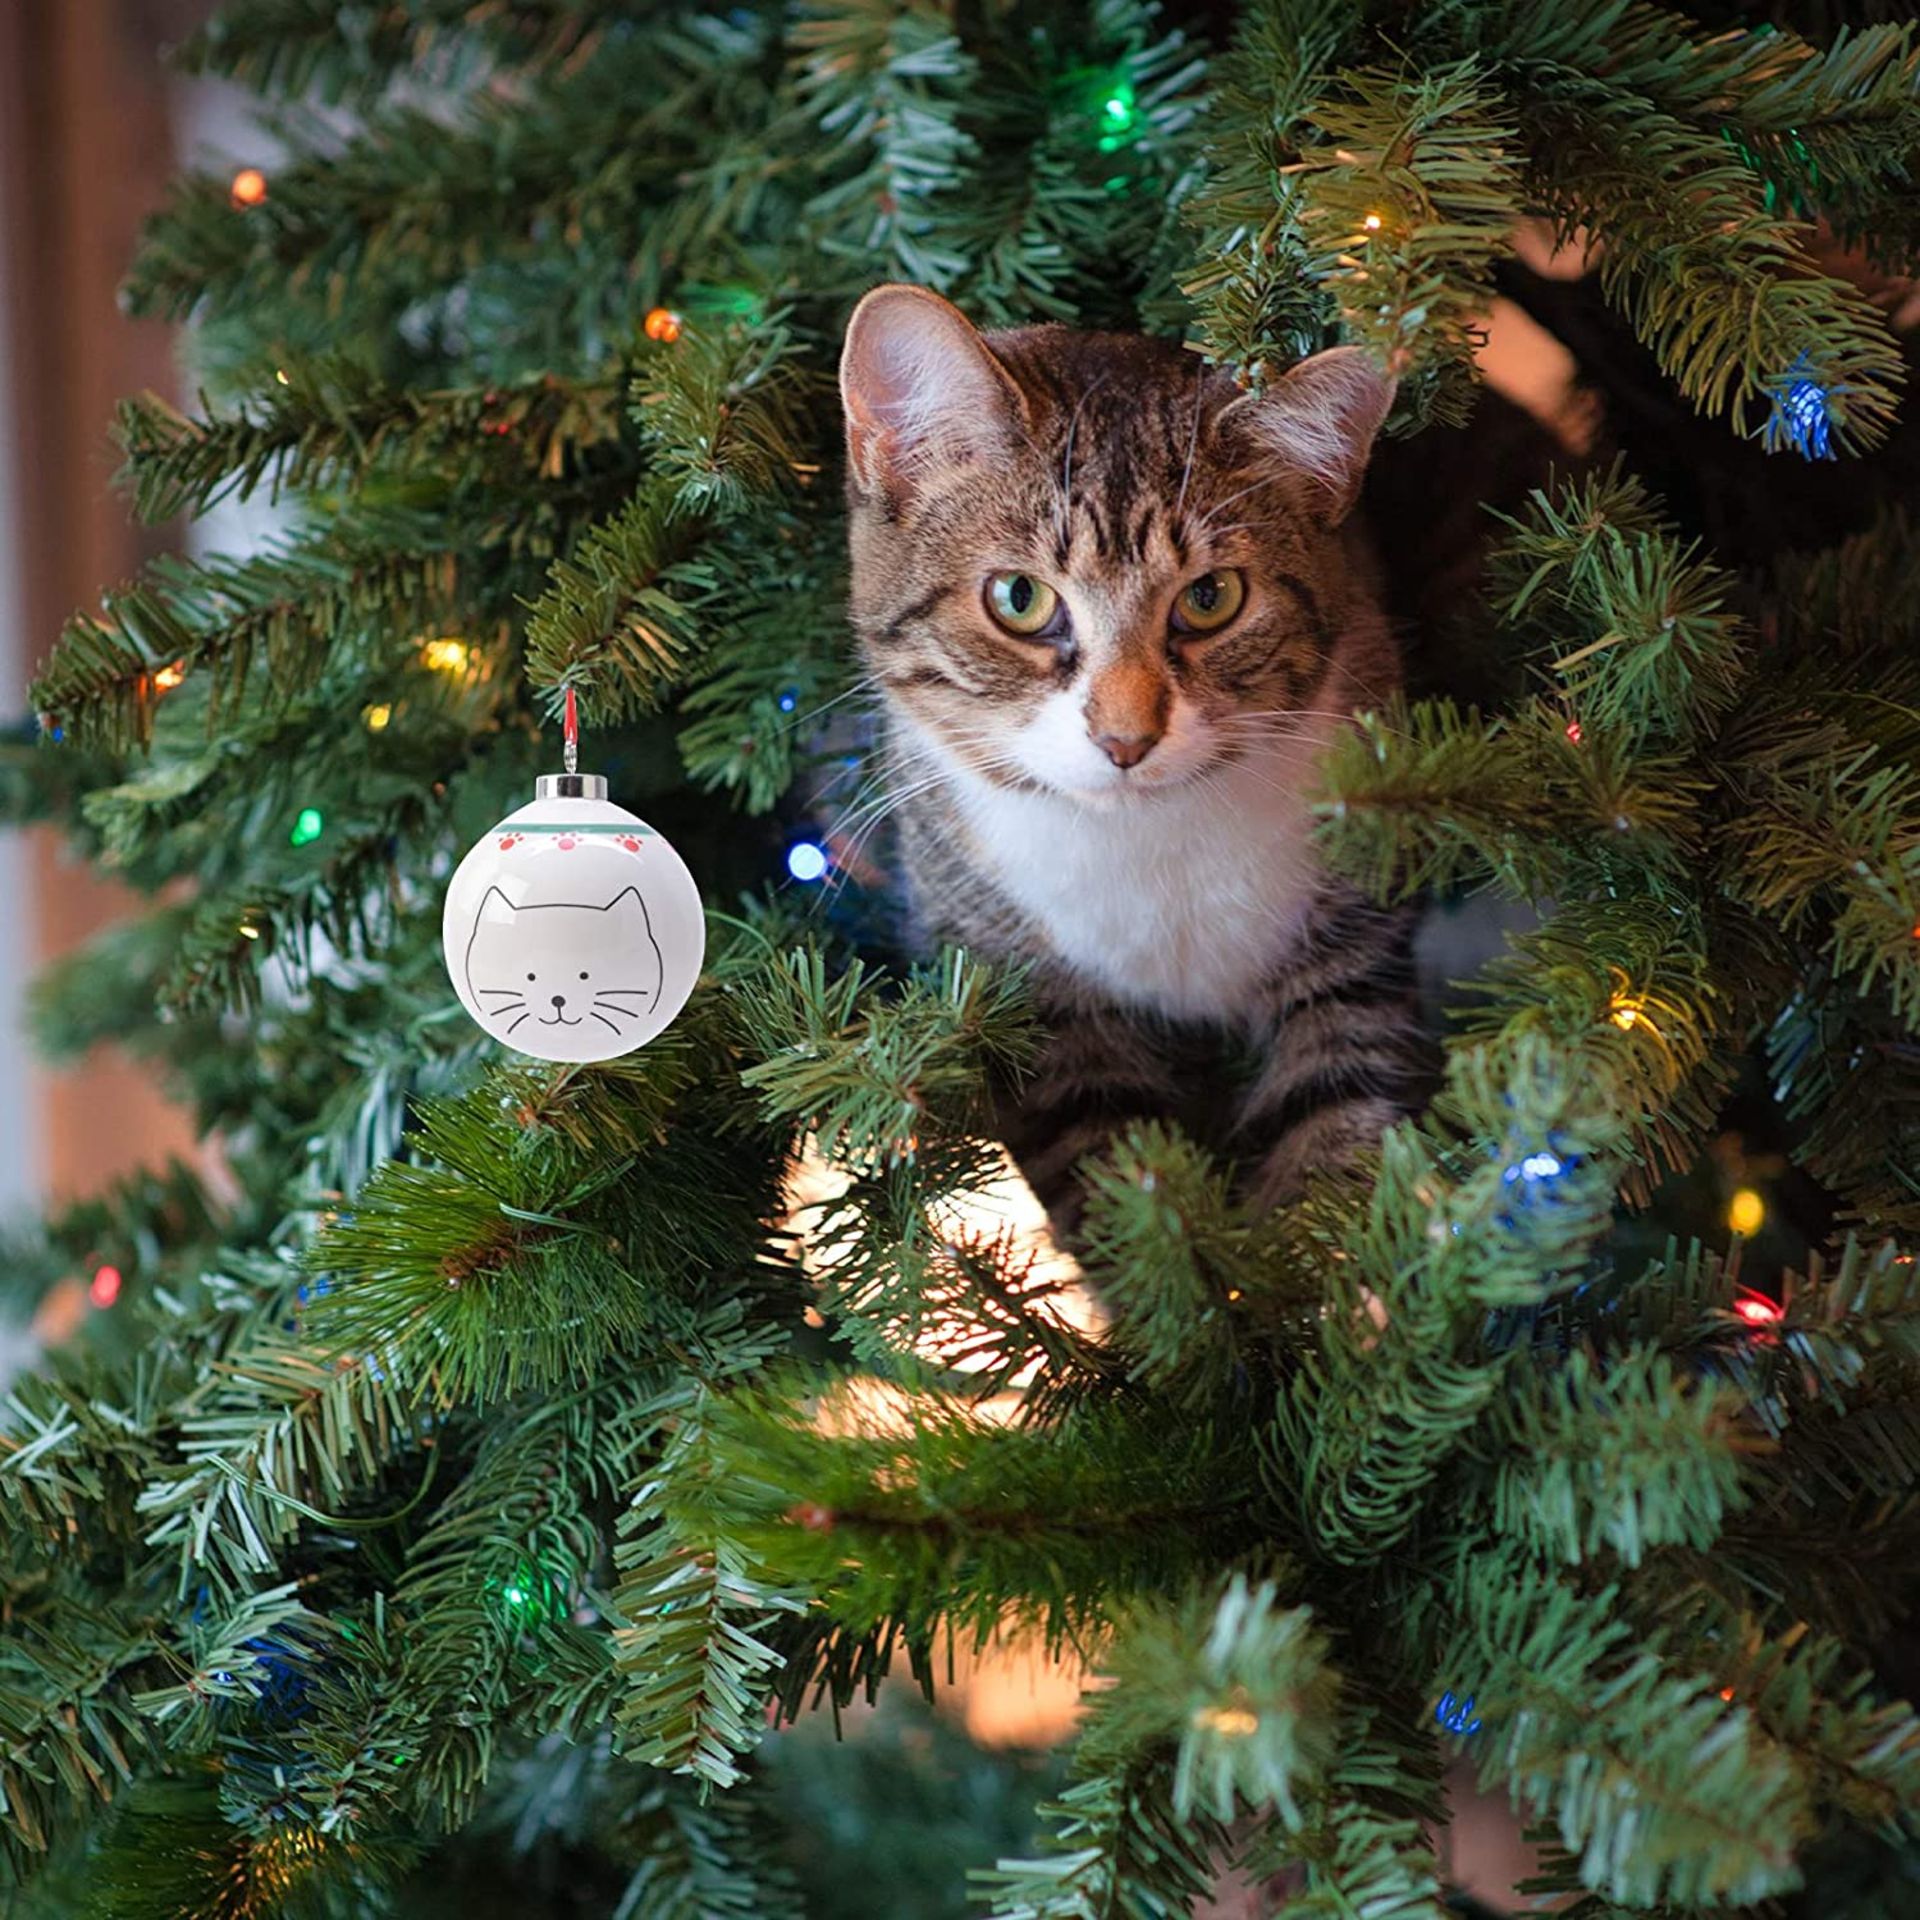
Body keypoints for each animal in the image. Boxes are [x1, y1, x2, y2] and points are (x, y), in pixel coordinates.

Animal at [837, 282, 1428, 1213]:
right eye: (1018, 598)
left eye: (1212, 597)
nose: (1125, 737)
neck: (1143, 843)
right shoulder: (1034, 1005)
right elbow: (1116, 1174)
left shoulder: (1355, 932)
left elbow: (1336, 1109)